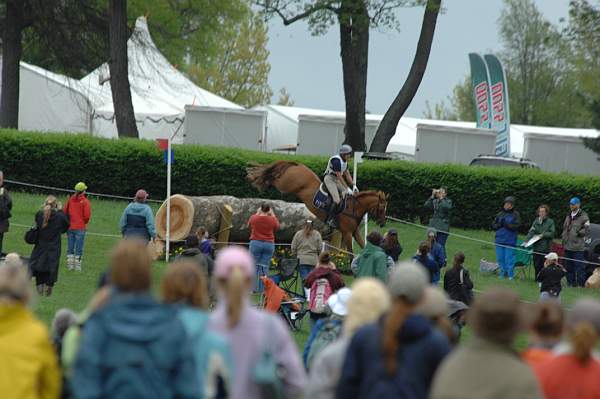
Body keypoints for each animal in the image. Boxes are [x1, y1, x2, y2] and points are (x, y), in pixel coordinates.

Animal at [245, 160, 390, 250]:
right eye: (382, 208)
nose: (383, 223)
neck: (355, 208)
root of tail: (298, 165)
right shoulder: (347, 233)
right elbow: (351, 254)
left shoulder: (355, 232)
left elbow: (363, 247)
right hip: (285, 184)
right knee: (274, 177)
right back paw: (257, 177)